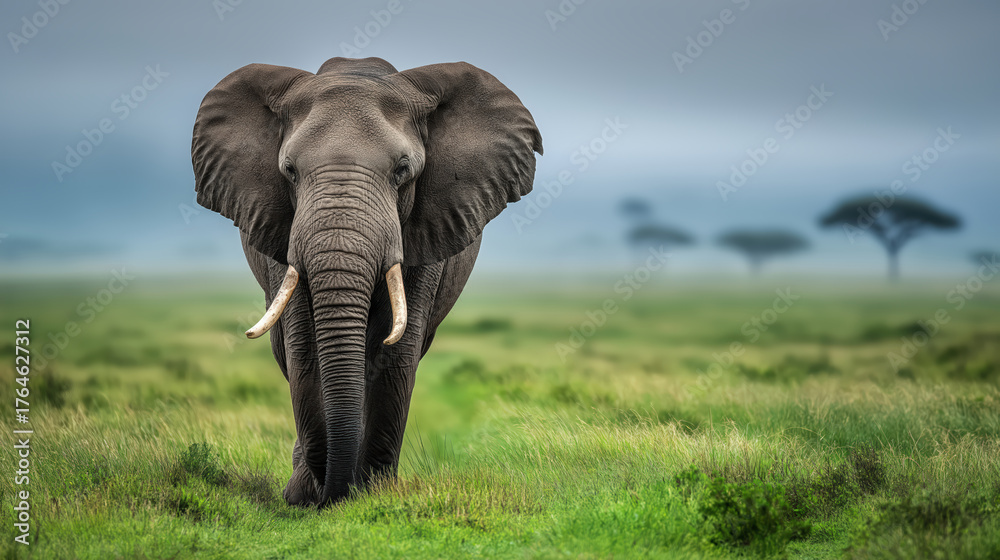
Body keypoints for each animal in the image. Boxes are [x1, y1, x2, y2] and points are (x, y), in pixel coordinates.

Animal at [191, 56, 542, 507]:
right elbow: (304, 348)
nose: (332, 493)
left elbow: (397, 353)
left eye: (402, 170)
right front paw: (309, 497)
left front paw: (372, 494)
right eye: (289, 171)